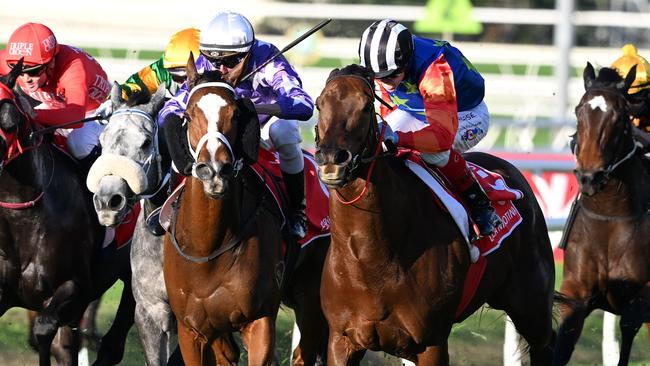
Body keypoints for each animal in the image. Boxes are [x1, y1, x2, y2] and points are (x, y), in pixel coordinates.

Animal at [162, 55, 330, 364]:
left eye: (236, 115)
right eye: (188, 116)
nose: (215, 170)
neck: (209, 247)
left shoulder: (259, 321)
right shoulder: (192, 330)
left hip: (312, 293)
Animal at [312, 64, 552, 364]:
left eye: (366, 106)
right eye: (319, 104)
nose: (333, 159)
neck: (369, 259)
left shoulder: (431, 343)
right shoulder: (342, 340)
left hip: (531, 305)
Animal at [552, 61, 648, 364]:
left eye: (619, 116)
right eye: (578, 111)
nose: (589, 177)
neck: (611, 218)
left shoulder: (641, 297)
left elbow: (627, 335)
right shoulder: (576, 294)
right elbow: (563, 342)